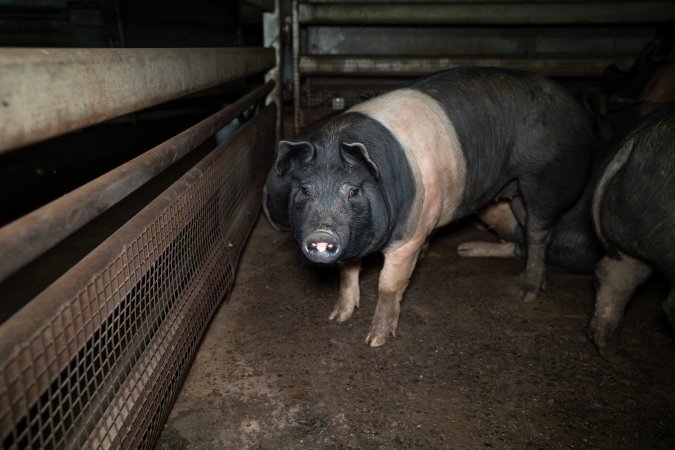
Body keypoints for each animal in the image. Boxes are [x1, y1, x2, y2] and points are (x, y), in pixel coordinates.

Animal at [265, 67, 595, 346]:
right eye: (305, 189)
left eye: (353, 191)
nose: (322, 234)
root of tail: (577, 109)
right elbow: (347, 273)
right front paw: (337, 317)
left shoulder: (409, 236)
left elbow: (389, 285)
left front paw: (375, 341)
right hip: (508, 195)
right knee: (521, 230)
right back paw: (467, 251)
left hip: (546, 181)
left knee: (539, 233)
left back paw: (526, 293)